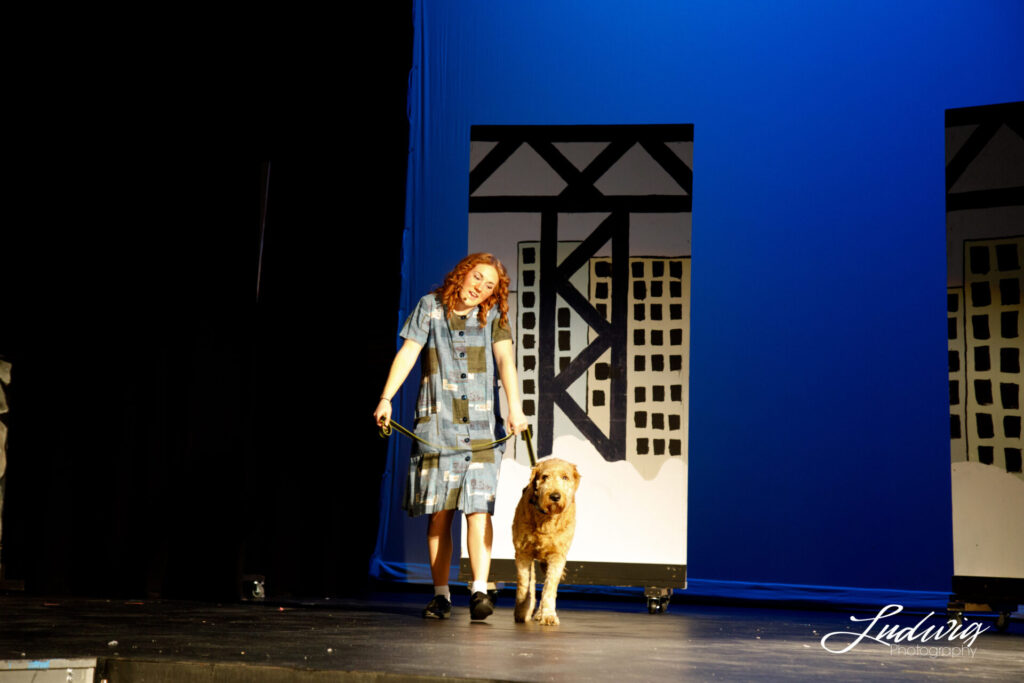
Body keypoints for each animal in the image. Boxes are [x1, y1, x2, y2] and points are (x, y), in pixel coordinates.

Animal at [509, 458, 577, 626]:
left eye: (565, 477)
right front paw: (522, 612)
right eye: (545, 477)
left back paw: (540, 613)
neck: (546, 520)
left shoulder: (557, 555)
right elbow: (524, 584)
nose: (555, 496)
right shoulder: (523, 552)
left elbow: (549, 587)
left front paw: (548, 615)